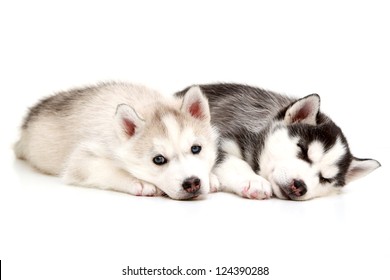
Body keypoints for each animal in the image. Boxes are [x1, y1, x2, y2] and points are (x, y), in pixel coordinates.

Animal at [14, 82, 216, 200]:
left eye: (196, 148)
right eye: (158, 159)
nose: (192, 183)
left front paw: (211, 176)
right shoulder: (81, 159)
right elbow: (109, 169)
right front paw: (139, 182)